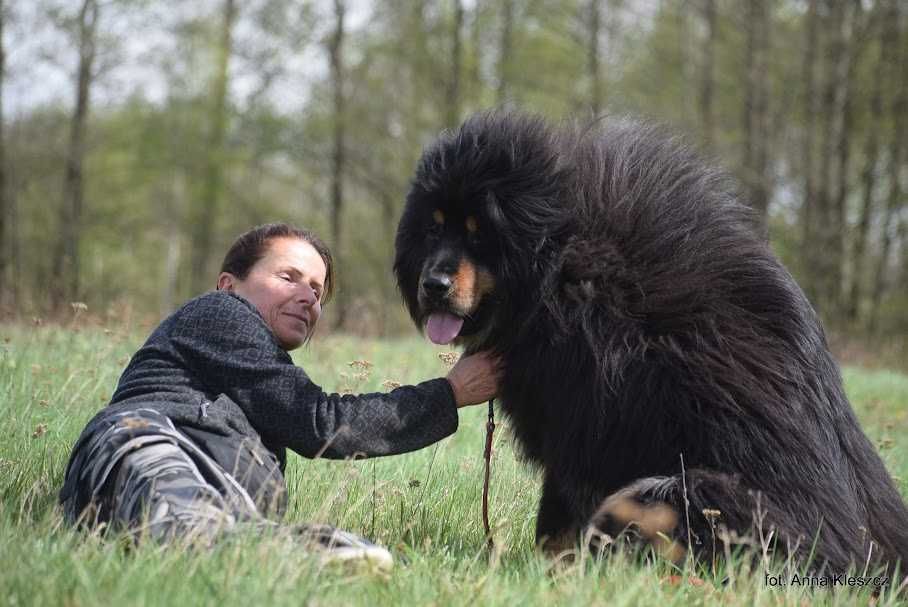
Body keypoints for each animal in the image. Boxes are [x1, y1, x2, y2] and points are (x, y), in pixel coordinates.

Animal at [392, 110, 908, 576]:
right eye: (434, 228)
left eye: (480, 233)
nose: (433, 284)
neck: (556, 263)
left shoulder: (584, 422)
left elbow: (557, 517)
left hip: (685, 493)